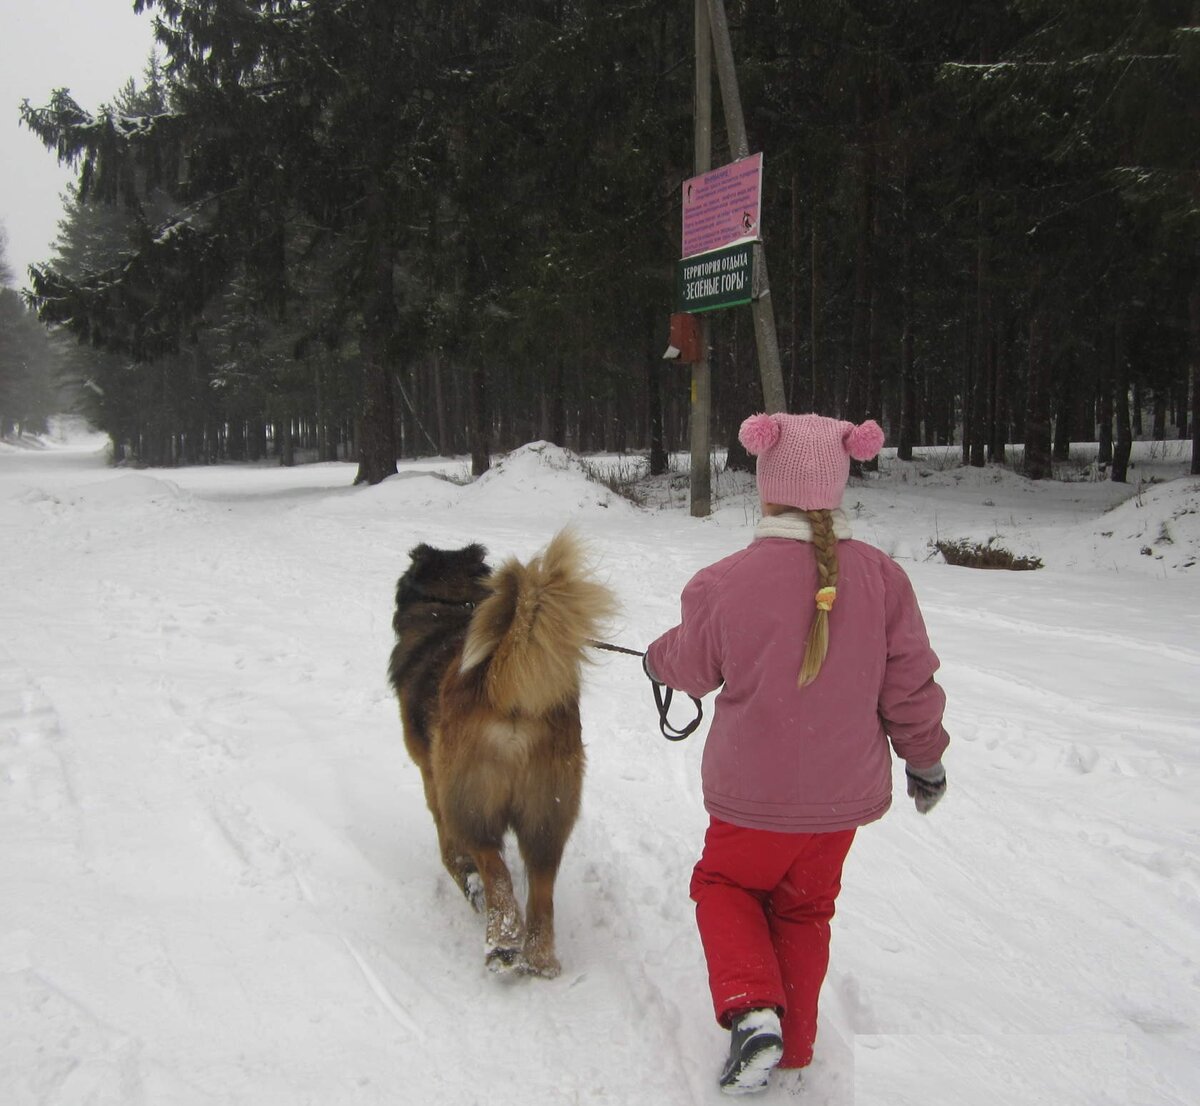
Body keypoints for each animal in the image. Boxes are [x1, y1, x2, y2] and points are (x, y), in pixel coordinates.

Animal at [386, 527, 614, 974]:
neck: (452, 608)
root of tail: (502, 688)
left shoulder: (433, 780)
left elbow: (452, 855)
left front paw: (467, 883)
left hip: (470, 800)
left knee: (496, 869)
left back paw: (503, 942)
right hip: (548, 811)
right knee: (541, 891)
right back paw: (539, 958)